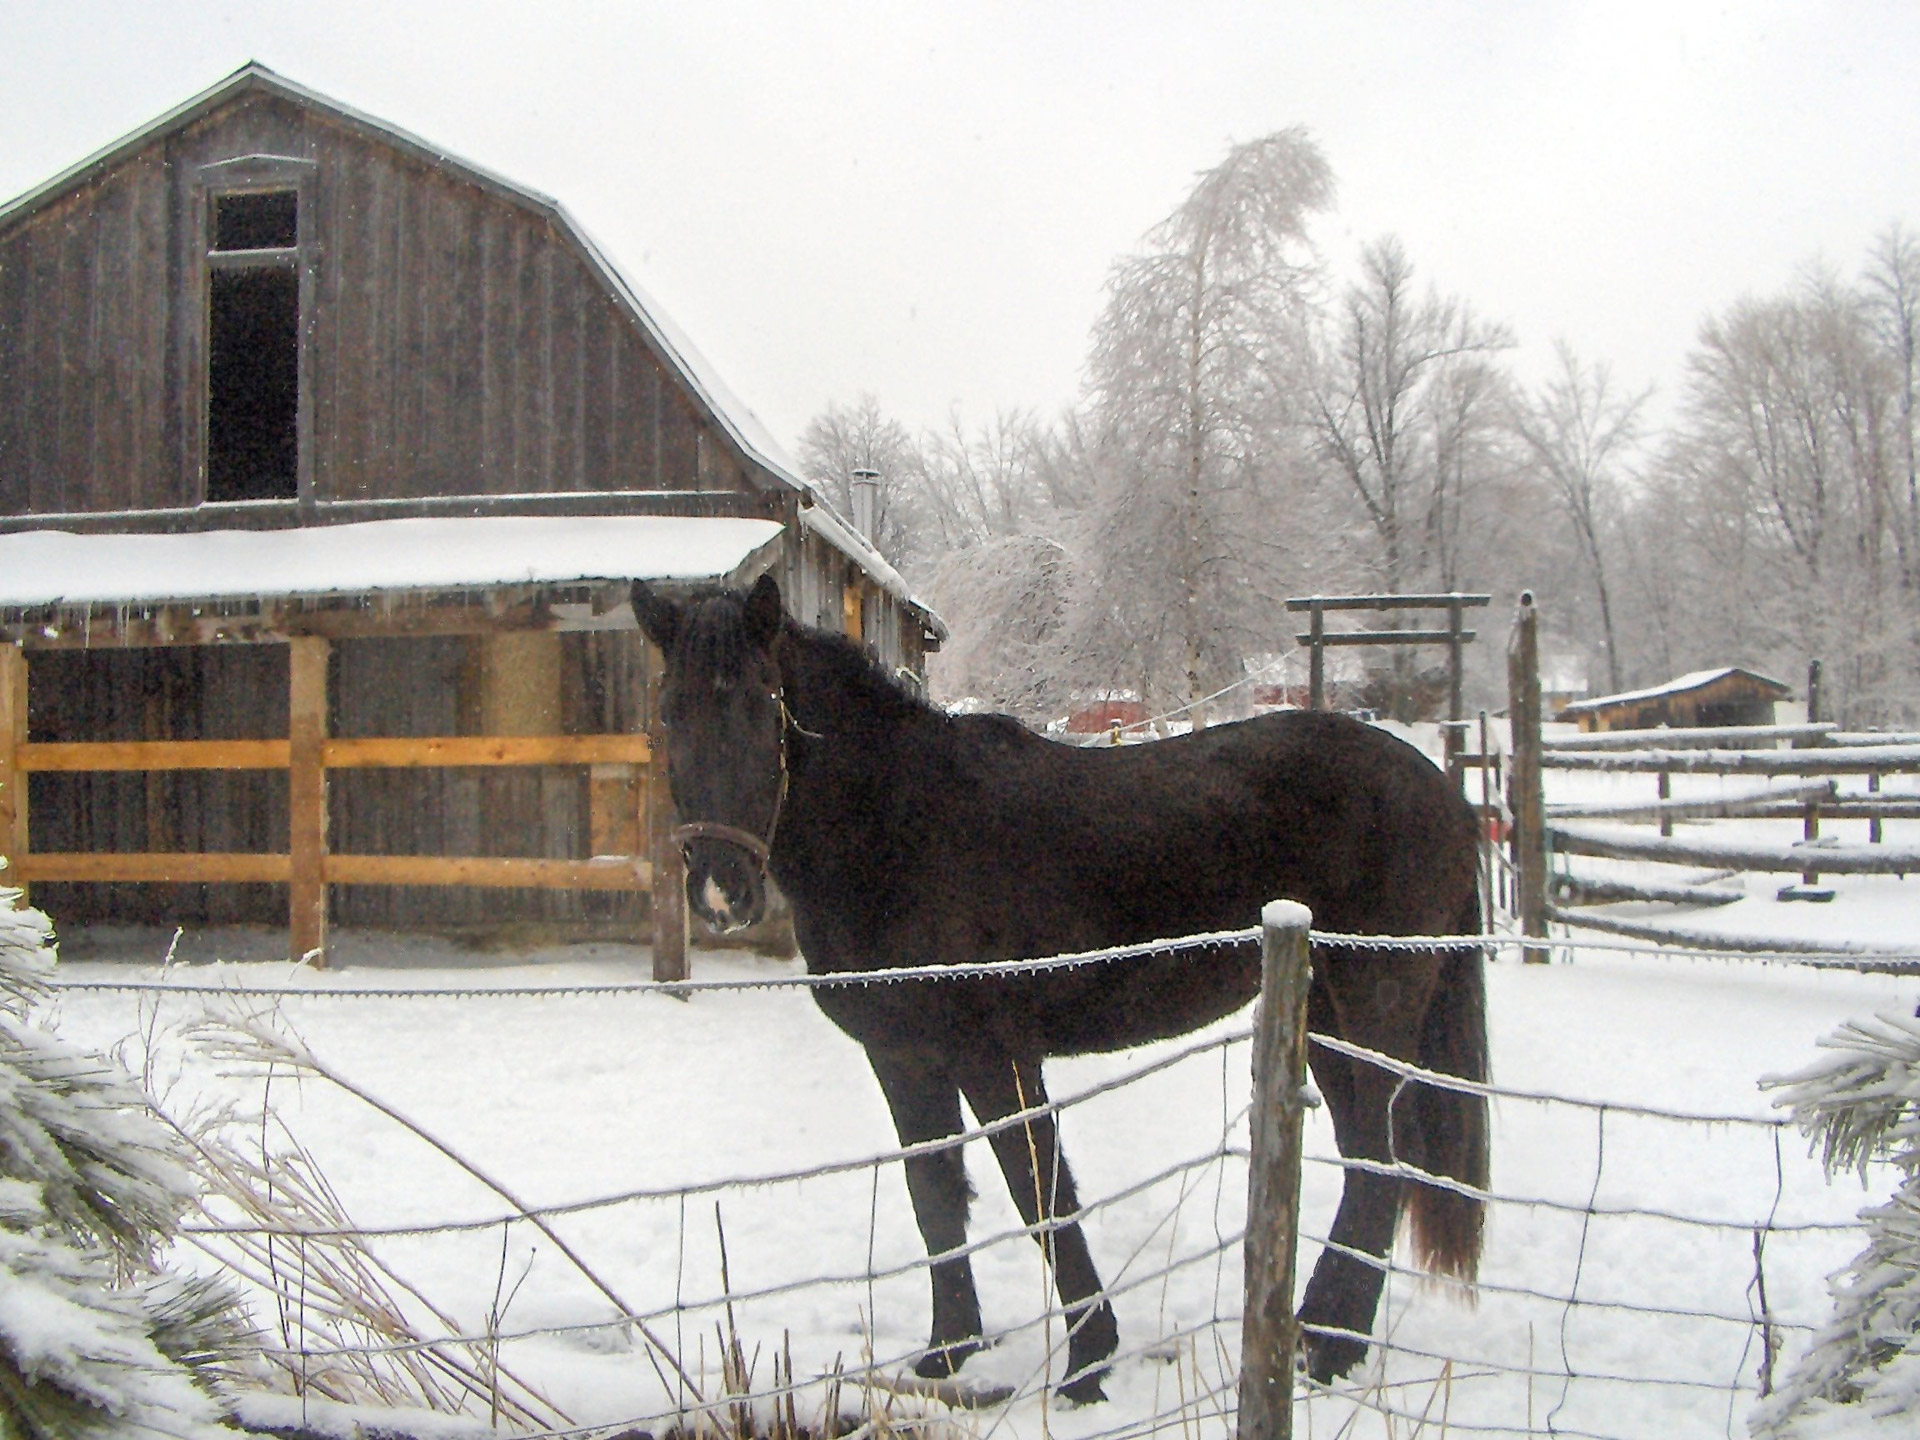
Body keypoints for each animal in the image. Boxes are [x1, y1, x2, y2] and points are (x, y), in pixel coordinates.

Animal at [637, 576, 1489, 1397]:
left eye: (762, 702)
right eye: (669, 713)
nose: (720, 890)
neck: (900, 826)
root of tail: (1445, 794)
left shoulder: (993, 1057)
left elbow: (1039, 1191)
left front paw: (1087, 1363)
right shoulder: (903, 1057)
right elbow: (935, 1196)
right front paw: (947, 1355)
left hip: (1372, 1009)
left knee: (1385, 1165)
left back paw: (1332, 1350)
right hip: (1324, 1022)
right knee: (1369, 1159)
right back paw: (1316, 1333)